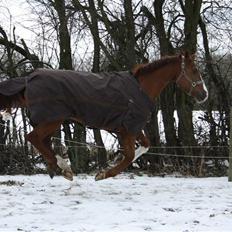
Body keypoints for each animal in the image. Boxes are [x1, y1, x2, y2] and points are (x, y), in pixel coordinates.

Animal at [0, 52, 208, 181]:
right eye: (194, 70)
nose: (204, 94)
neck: (140, 89)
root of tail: (29, 78)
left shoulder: (132, 127)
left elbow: (145, 146)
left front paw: (108, 166)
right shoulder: (127, 130)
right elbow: (129, 155)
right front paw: (103, 174)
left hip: (50, 120)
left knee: (42, 141)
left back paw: (60, 167)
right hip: (53, 119)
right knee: (33, 137)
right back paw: (63, 169)